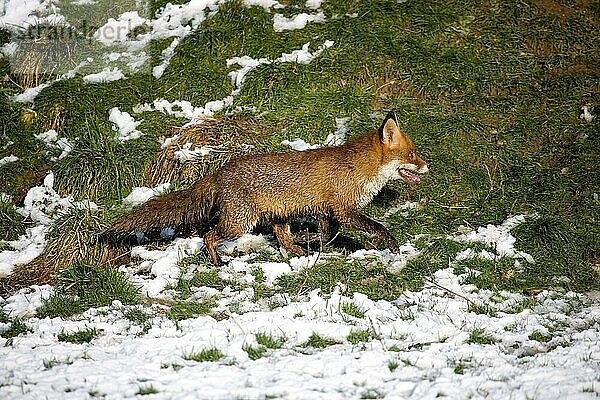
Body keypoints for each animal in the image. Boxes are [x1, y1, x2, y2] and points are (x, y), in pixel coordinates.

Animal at [105, 111, 428, 264]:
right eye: (413, 155)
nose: (428, 167)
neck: (359, 169)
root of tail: (219, 172)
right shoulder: (344, 211)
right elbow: (376, 227)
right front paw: (393, 246)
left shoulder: (326, 212)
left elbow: (327, 235)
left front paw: (312, 242)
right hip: (239, 223)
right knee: (209, 235)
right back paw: (217, 261)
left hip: (276, 216)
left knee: (283, 240)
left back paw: (298, 250)